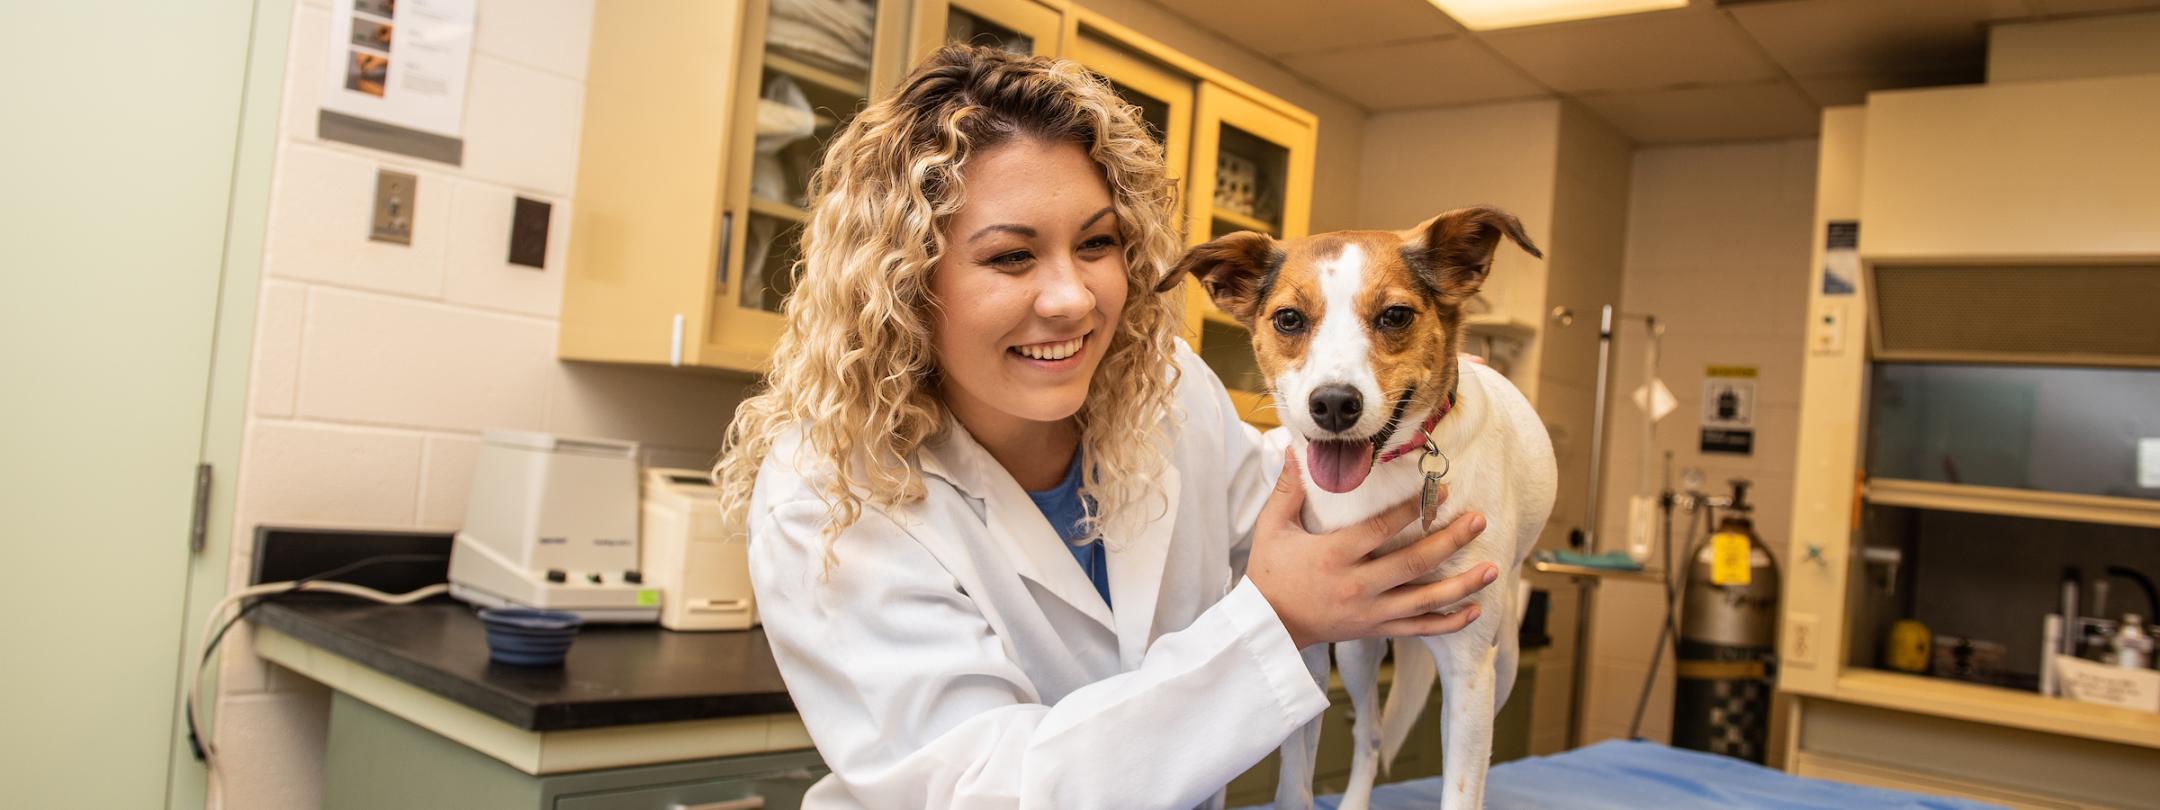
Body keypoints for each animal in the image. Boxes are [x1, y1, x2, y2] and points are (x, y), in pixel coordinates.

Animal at [1166, 206, 1555, 810]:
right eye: (1288, 319)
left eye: (1395, 315)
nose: (1332, 404)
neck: (1383, 473)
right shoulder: (1303, 648)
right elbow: (1295, 783)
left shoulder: (1469, 666)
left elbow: (1462, 787)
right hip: (1356, 650)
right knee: (1369, 735)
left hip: (1505, 659)